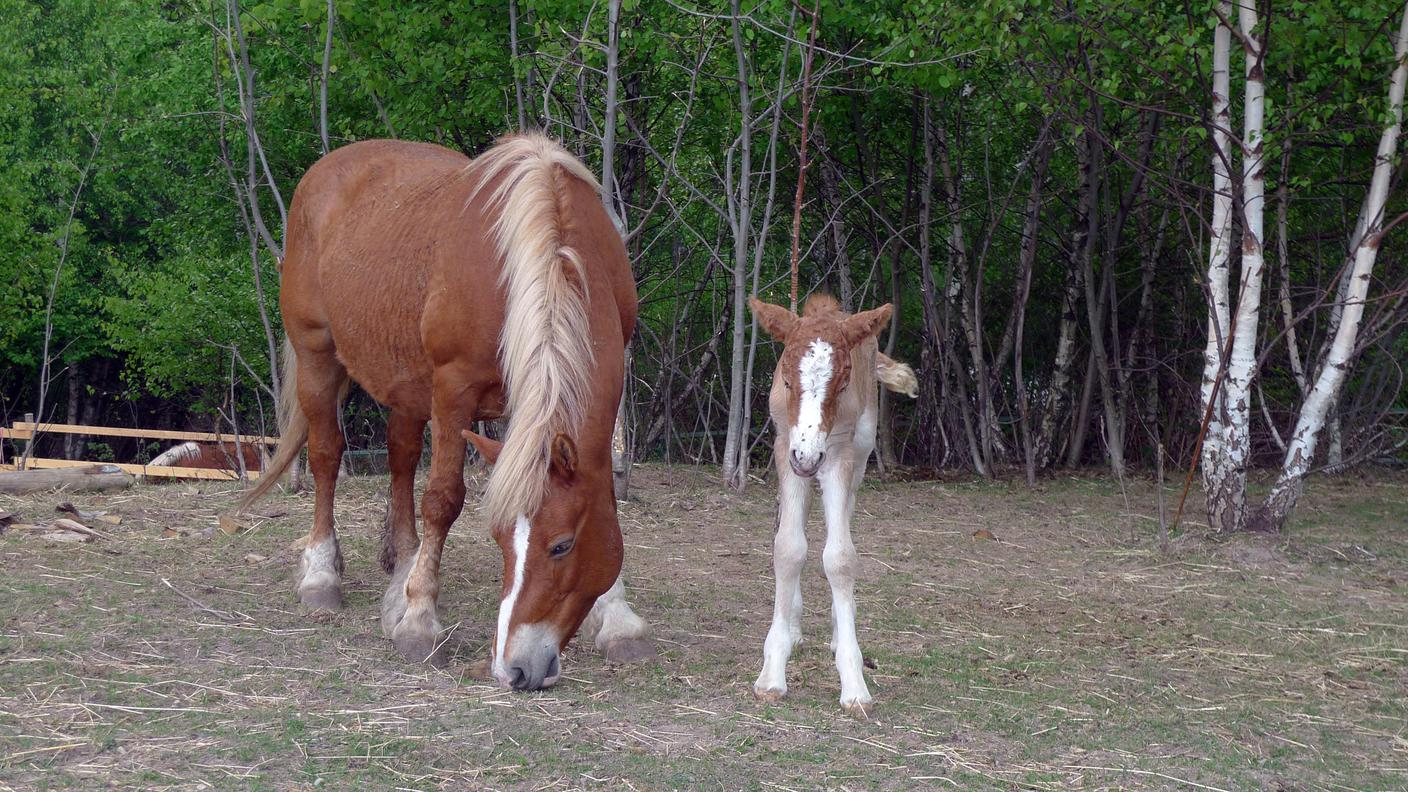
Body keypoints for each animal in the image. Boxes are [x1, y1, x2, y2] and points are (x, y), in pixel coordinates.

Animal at [242, 132, 653, 687]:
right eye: (500, 539)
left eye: (562, 545)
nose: (514, 669)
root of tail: (323, 172)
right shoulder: (454, 389)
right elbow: (442, 499)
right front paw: (420, 621)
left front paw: (618, 619)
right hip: (317, 355)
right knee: (326, 456)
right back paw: (323, 575)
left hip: (406, 383)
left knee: (399, 457)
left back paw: (400, 572)